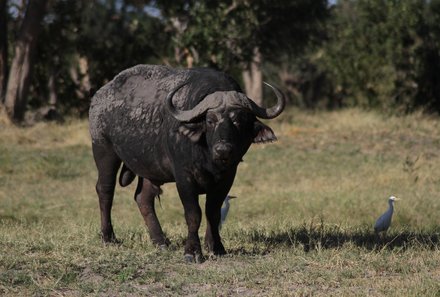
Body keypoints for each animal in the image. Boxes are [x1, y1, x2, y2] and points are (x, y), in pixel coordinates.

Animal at [89, 65, 286, 262]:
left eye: (238, 120)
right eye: (210, 120)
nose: (223, 149)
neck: (208, 158)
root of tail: (99, 96)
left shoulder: (227, 178)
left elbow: (213, 213)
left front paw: (216, 247)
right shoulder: (184, 178)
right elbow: (193, 214)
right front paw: (192, 251)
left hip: (150, 171)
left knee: (143, 198)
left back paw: (160, 241)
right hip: (104, 151)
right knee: (105, 190)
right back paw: (108, 237)